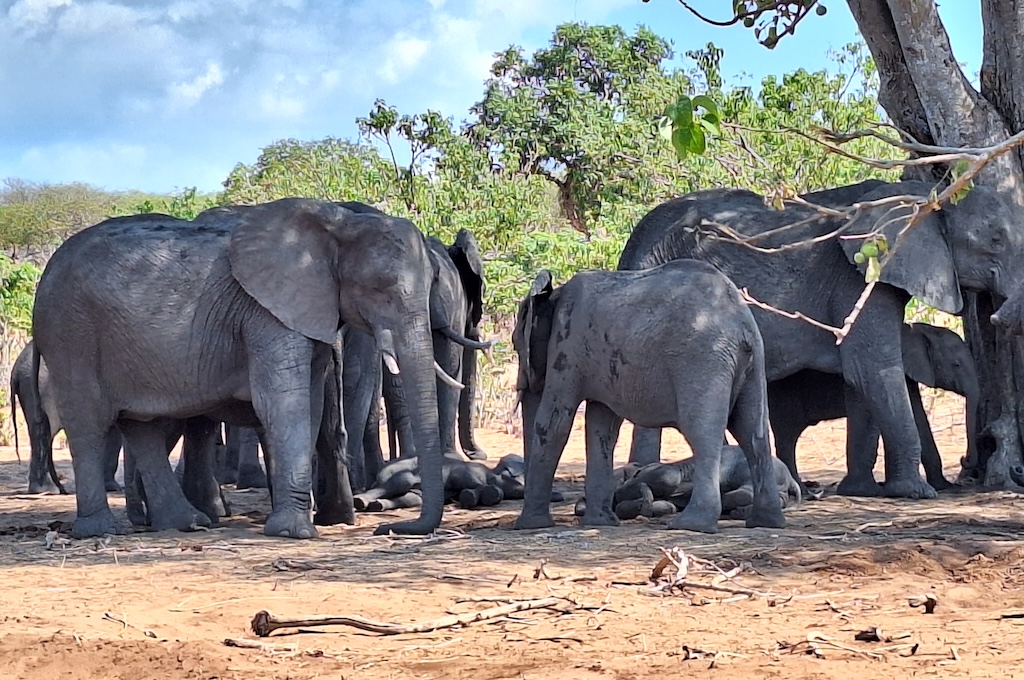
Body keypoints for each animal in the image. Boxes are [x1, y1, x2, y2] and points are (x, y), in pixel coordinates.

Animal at [9, 340, 121, 495]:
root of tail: (15, 371)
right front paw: (112, 488)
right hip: (41, 388)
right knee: (46, 431)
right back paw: (47, 490)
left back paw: (56, 489)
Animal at [31, 198, 452, 539]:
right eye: (379, 288)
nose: (386, 527)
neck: (339, 225)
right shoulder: (265, 311)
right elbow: (283, 402)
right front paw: (296, 533)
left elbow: (311, 401)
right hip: (70, 332)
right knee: (89, 423)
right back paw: (102, 530)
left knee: (142, 427)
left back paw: (187, 523)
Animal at [574, 445, 802, 521]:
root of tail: (790, 478)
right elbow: (665, 505)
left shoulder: (654, 471)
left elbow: (663, 479)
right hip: (777, 485)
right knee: (776, 498)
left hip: (745, 469)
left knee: (747, 490)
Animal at [770, 322, 979, 494]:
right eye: (956, 365)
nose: (964, 459)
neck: (919, 331)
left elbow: (919, 417)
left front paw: (944, 486)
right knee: (787, 436)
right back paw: (803, 491)